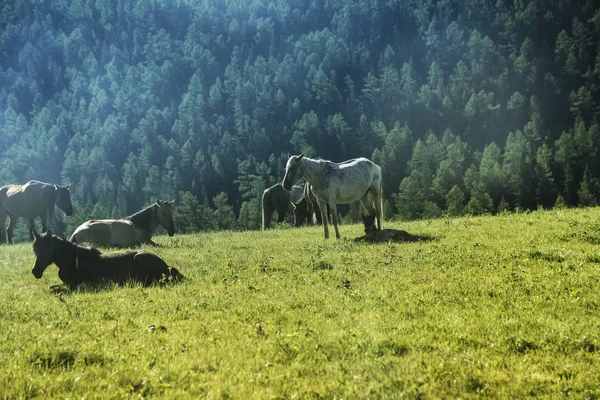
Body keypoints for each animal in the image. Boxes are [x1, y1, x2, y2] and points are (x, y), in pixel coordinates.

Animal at [32, 230, 183, 290]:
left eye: (46, 249)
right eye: (34, 250)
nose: (35, 271)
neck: (74, 261)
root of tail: (165, 266)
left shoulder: (74, 285)